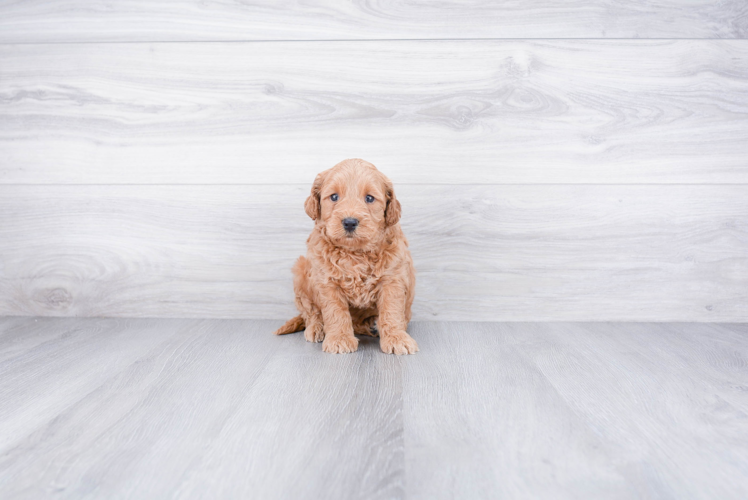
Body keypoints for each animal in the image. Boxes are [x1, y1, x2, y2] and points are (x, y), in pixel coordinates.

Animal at [272, 158, 418, 354]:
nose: (349, 222)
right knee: (310, 312)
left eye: (369, 198)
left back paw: (372, 326)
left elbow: (392, 310)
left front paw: (397, 338)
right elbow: (335, 312)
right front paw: (339, 339)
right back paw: (316, 328)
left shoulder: (392, 278)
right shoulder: (327, 282)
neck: (355, 252)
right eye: (334, 197)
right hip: (301, 271)